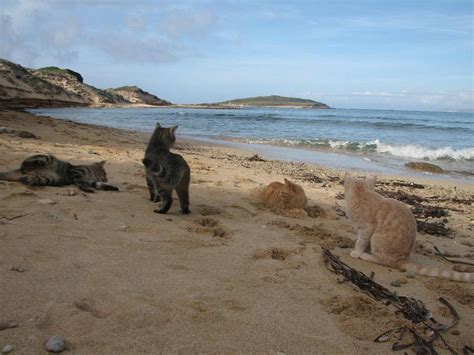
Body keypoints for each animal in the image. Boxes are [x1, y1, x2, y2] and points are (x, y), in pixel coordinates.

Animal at [342, 173, 472, 284]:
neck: (362, 194)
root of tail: (402, 259)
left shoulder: (366, 229)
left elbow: (360, 242)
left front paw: (357, 252)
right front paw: (364, 249)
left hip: (377, 238)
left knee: (385, 261)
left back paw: (367, 256)